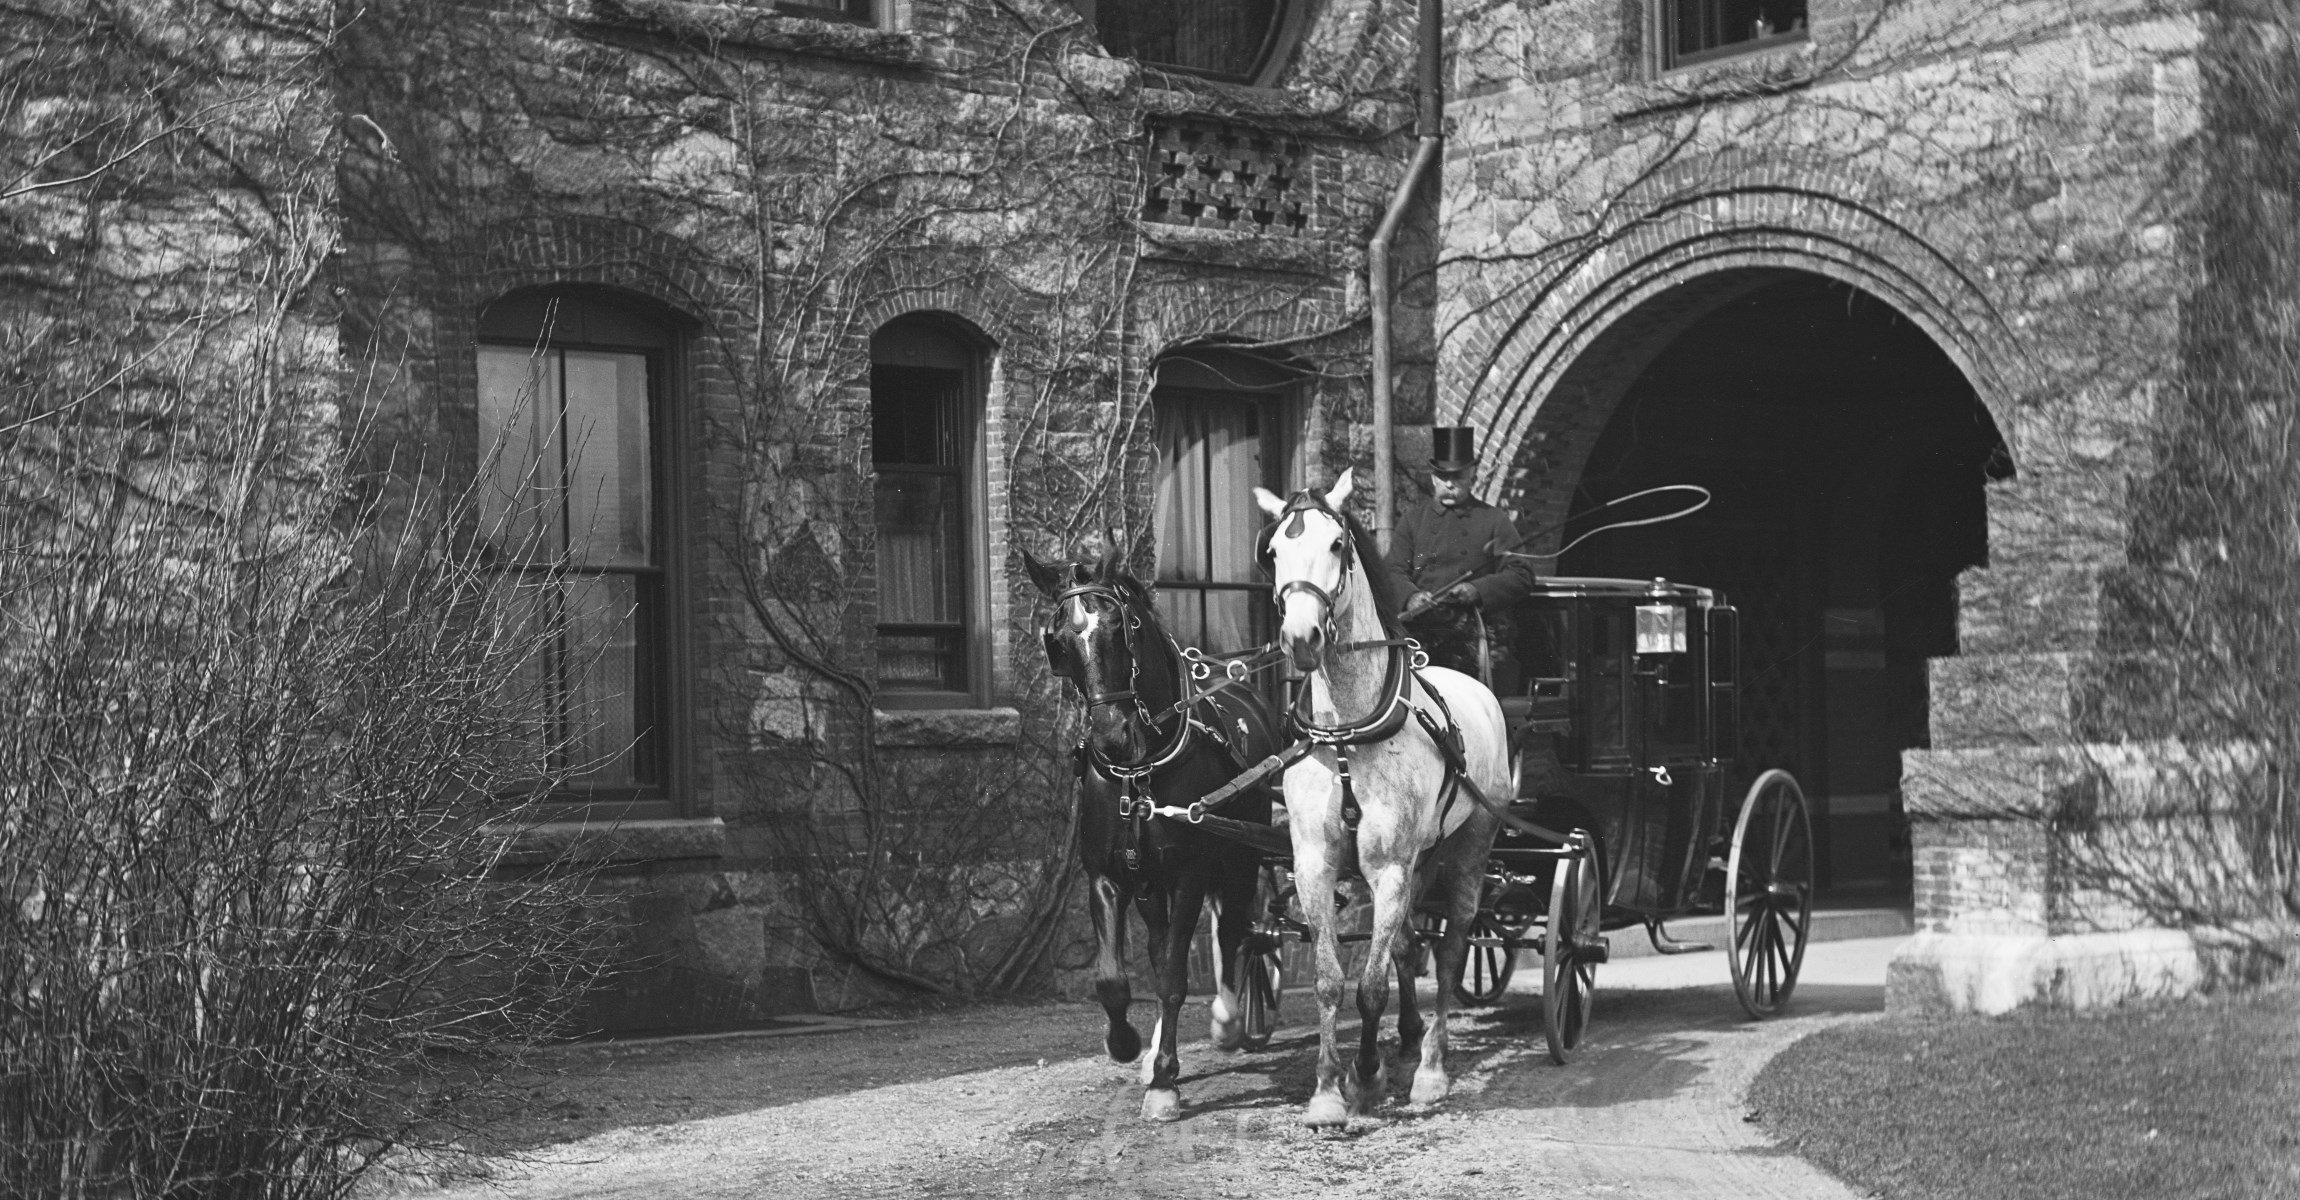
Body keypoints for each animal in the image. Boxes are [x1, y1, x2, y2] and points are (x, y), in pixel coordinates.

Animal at [1030, 542, 1297, 1121]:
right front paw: (1129, 1045)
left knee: (1238, 931)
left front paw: (1164, 1083)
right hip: (1151, 886)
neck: (1141, 769)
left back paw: (1228, 1019)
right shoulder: (1106, 877)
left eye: (1121, 626)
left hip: (1240, 860)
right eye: (1057, 641)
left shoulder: (1190, 875)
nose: (1112, 736)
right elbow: (1114, 979)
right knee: (1164, 945)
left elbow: (1174, 976)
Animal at [1251, 466, 1518, 1121]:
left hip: (1471, 848)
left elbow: (1370, 985)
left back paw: (1431, 1069)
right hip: (1422, 859)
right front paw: (1327, 1091)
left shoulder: (1389, 865)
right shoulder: (1314, 864)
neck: (1349, 730)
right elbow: (1331, 978)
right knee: (1405, 945)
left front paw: (1367, 1076)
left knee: (1449, 952)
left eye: (1336, 545)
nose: (1301, 637)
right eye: (1273, 552)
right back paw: (1412, 1035)